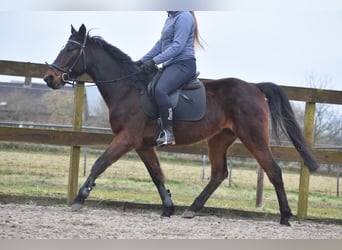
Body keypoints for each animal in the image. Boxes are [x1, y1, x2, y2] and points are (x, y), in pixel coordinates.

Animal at [43, 24, 320, 226]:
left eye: (70, 50)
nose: (49, 78)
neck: (128, 88)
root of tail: (254, 87)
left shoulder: (127, 138)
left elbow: (100, 163)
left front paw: (79, 198)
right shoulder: (143, 145)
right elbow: (157, 175)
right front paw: (168, 207)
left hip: (253, 137)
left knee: (274, 170)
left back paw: (285, 216)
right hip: (219, 139)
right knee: (219, 173)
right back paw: (192, 208)